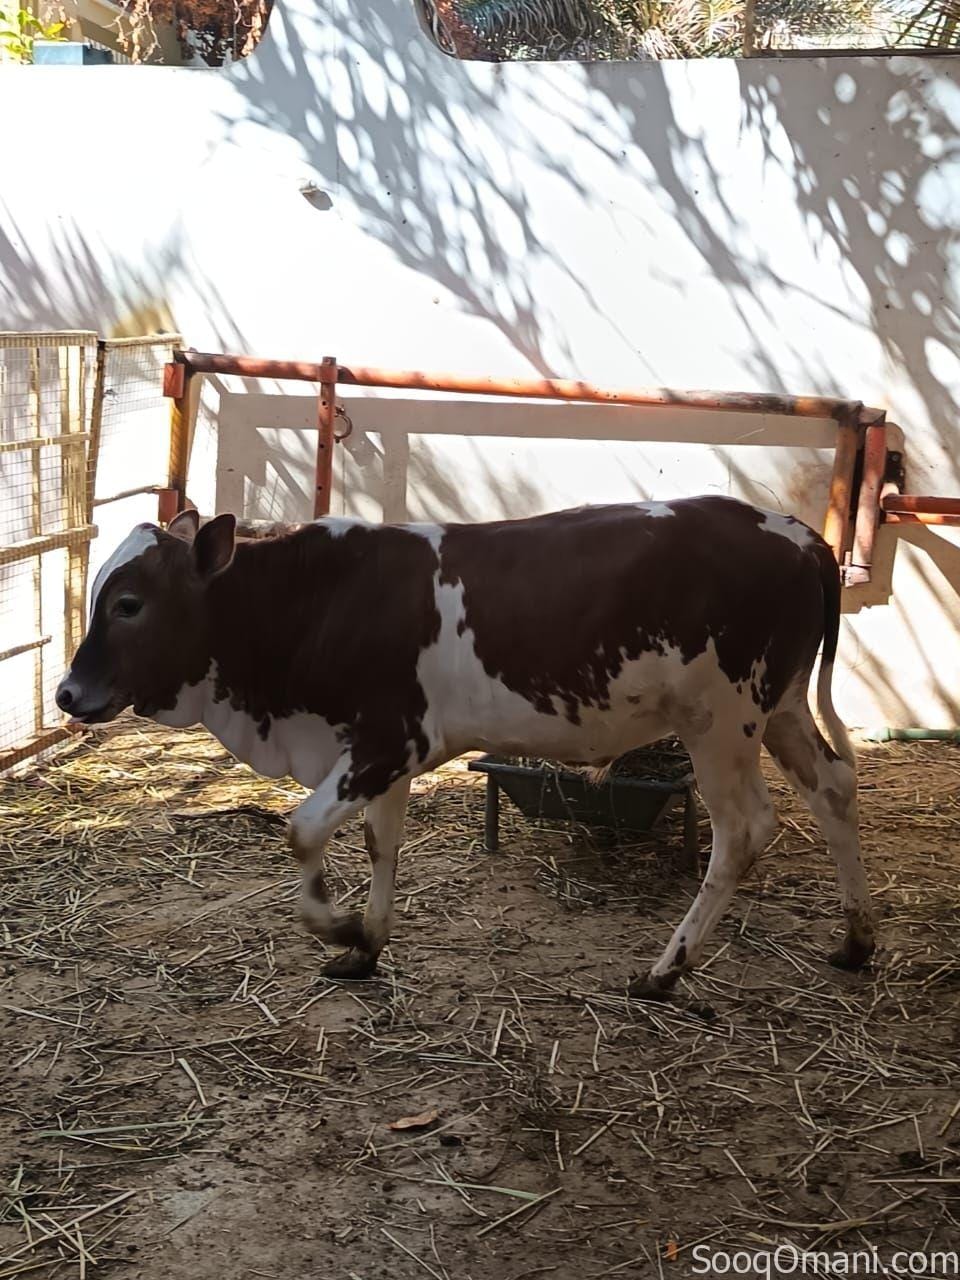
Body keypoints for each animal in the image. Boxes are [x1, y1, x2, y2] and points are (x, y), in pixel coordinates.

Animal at [56, 497, 875, 998]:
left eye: (128, 603)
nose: (66, 693)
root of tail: (800, 535)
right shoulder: (378, 756)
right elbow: (381, 843)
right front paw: (366, 944)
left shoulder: (390, 740)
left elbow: (303, 831)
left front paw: (337, 924)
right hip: (782, 708)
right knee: (835, 787)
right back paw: (855, 939)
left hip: (723, 722)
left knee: (744, 831)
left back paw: (665, 971)